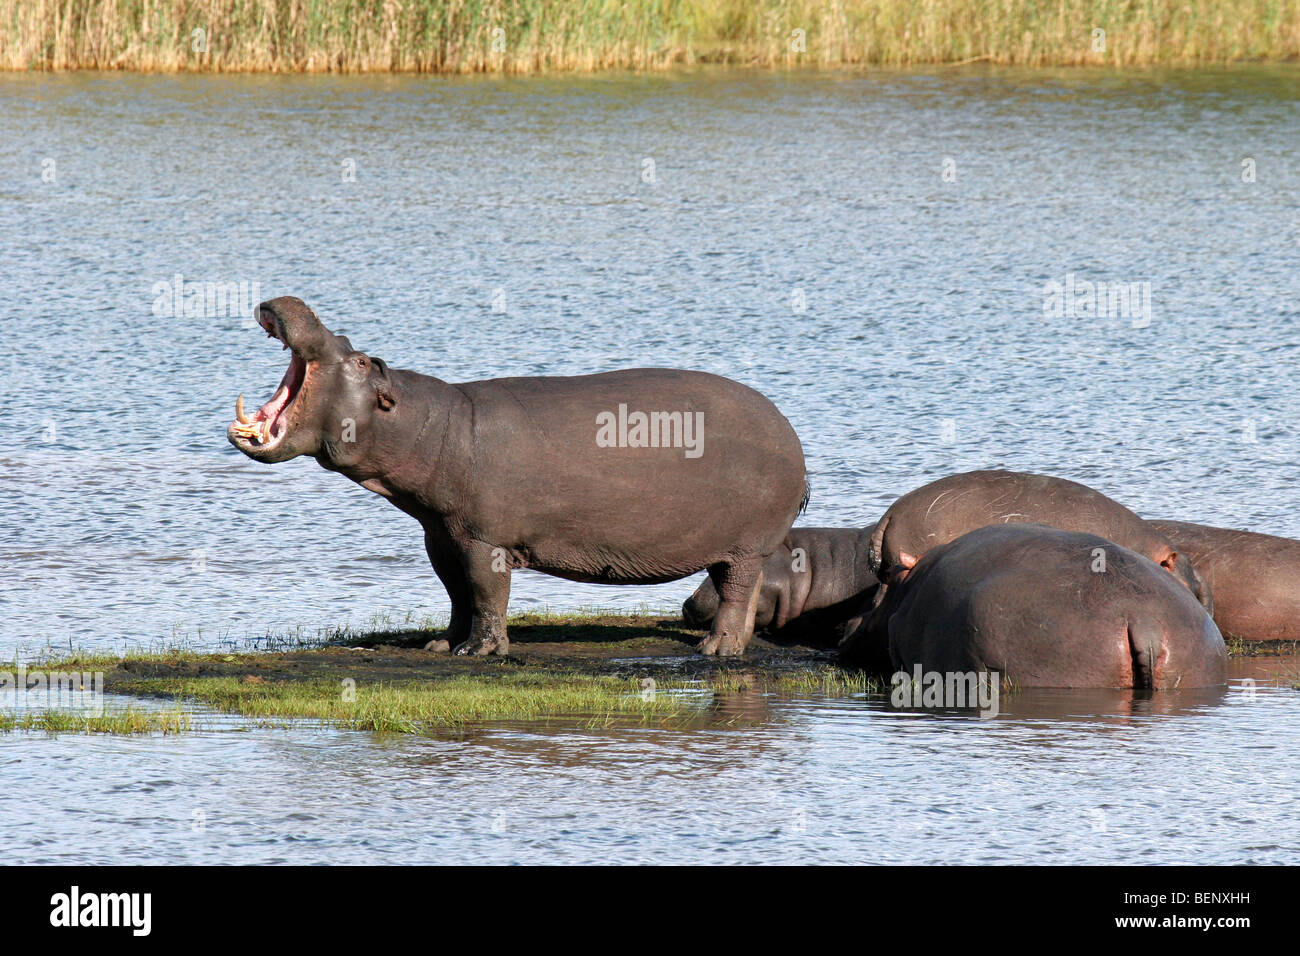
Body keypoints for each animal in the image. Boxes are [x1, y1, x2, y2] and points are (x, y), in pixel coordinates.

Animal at [227, 297, 807, 657]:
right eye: (350, 340)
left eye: (363, 360)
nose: (292, 303)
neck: (425, 423)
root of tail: (790, 429)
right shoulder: (441, 534)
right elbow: (455, 592)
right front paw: (441, 645)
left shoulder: (484, 538)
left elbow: (486, 592)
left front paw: (476, 651)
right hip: (741, 546)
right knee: (744, 590)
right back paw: (732, 647)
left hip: (746, 543)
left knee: (735, 593)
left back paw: (714, 650)